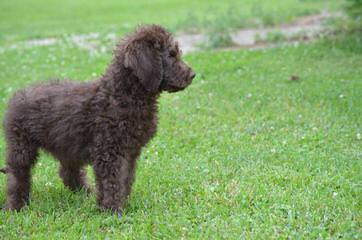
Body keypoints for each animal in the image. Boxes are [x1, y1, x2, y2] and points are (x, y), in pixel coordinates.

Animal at [1, 24, 195, 212]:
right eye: (171, 55)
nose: (192, 75)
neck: (124, 94)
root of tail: (17, 96)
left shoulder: (129, 152)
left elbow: (125, 178)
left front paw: (122, 203)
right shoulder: (109, 151)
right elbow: (112, 181)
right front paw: (112, 210)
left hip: (66, 143)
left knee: (67, 171)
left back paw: (84, 193)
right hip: (21, 146)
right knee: (17, 176)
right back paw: (16, 206)